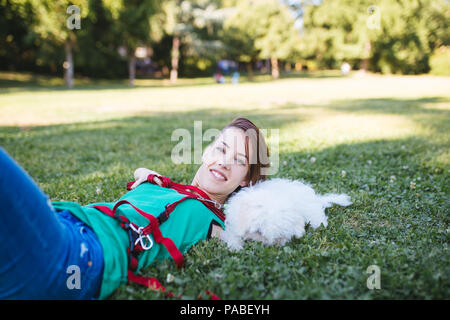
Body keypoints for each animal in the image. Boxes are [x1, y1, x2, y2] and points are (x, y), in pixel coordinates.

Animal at [220, 178, 354, 250]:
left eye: (278, 238)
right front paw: (236, 246)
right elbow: (232, 234)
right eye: (258, 232)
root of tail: (315, 198)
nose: (263, 245)